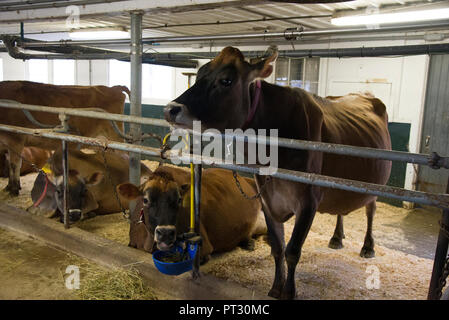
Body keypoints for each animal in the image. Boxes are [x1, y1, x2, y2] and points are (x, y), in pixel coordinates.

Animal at [0, 80, 130, 195]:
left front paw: (14, 189)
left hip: (116, 137)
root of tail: (114, 88)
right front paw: (9, 187)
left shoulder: (15, 139)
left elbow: (14, 165)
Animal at [163, 46, 390, 298]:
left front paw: (289, 292)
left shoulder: (308, 201)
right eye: (199, 74)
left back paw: (368, 246)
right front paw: (274, 288)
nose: (170, 109)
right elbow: (278, 248)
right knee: (342, 209)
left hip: (373, 184)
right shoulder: (267, 199)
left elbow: (292, 251)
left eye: (226, 80)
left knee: (371, 209)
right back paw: (336, 237)